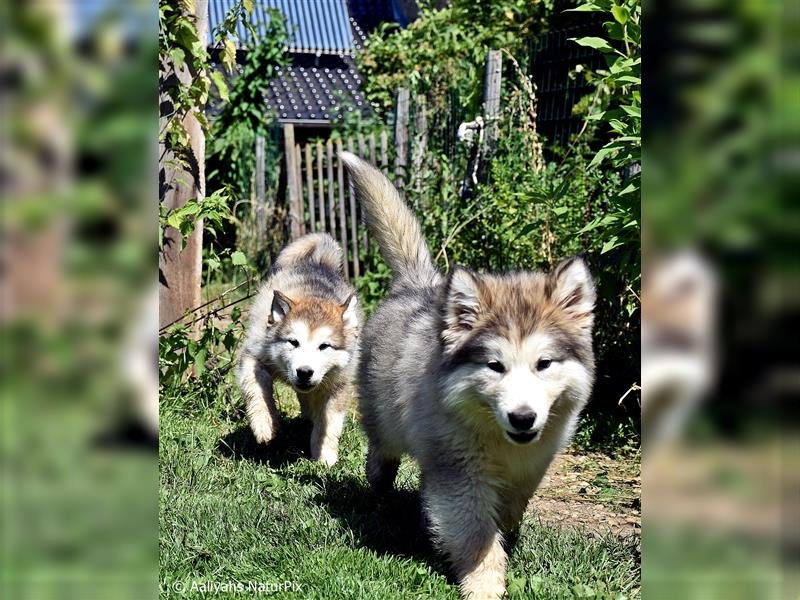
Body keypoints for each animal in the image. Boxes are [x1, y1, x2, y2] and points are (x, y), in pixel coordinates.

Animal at [238, 233, 360, 464]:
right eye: (293, 342)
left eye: (325, 346)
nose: (304, 372)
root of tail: (321, 262)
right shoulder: (254, 355)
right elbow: (257, 388)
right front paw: (264, 424)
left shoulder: (338, 383)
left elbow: (329, 421)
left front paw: (324, 456)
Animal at [340, 152, 596, 596]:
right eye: (495, 365)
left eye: (544, 364)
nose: (523, 418)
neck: (497, 437)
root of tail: (418, 283)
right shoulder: (459, 471)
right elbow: (476, 531)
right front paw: (484, 583)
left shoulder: (534, 462)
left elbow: (512, 504)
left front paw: (505, 525)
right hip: (384, 418)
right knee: (382, 452)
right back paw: (379, 485)